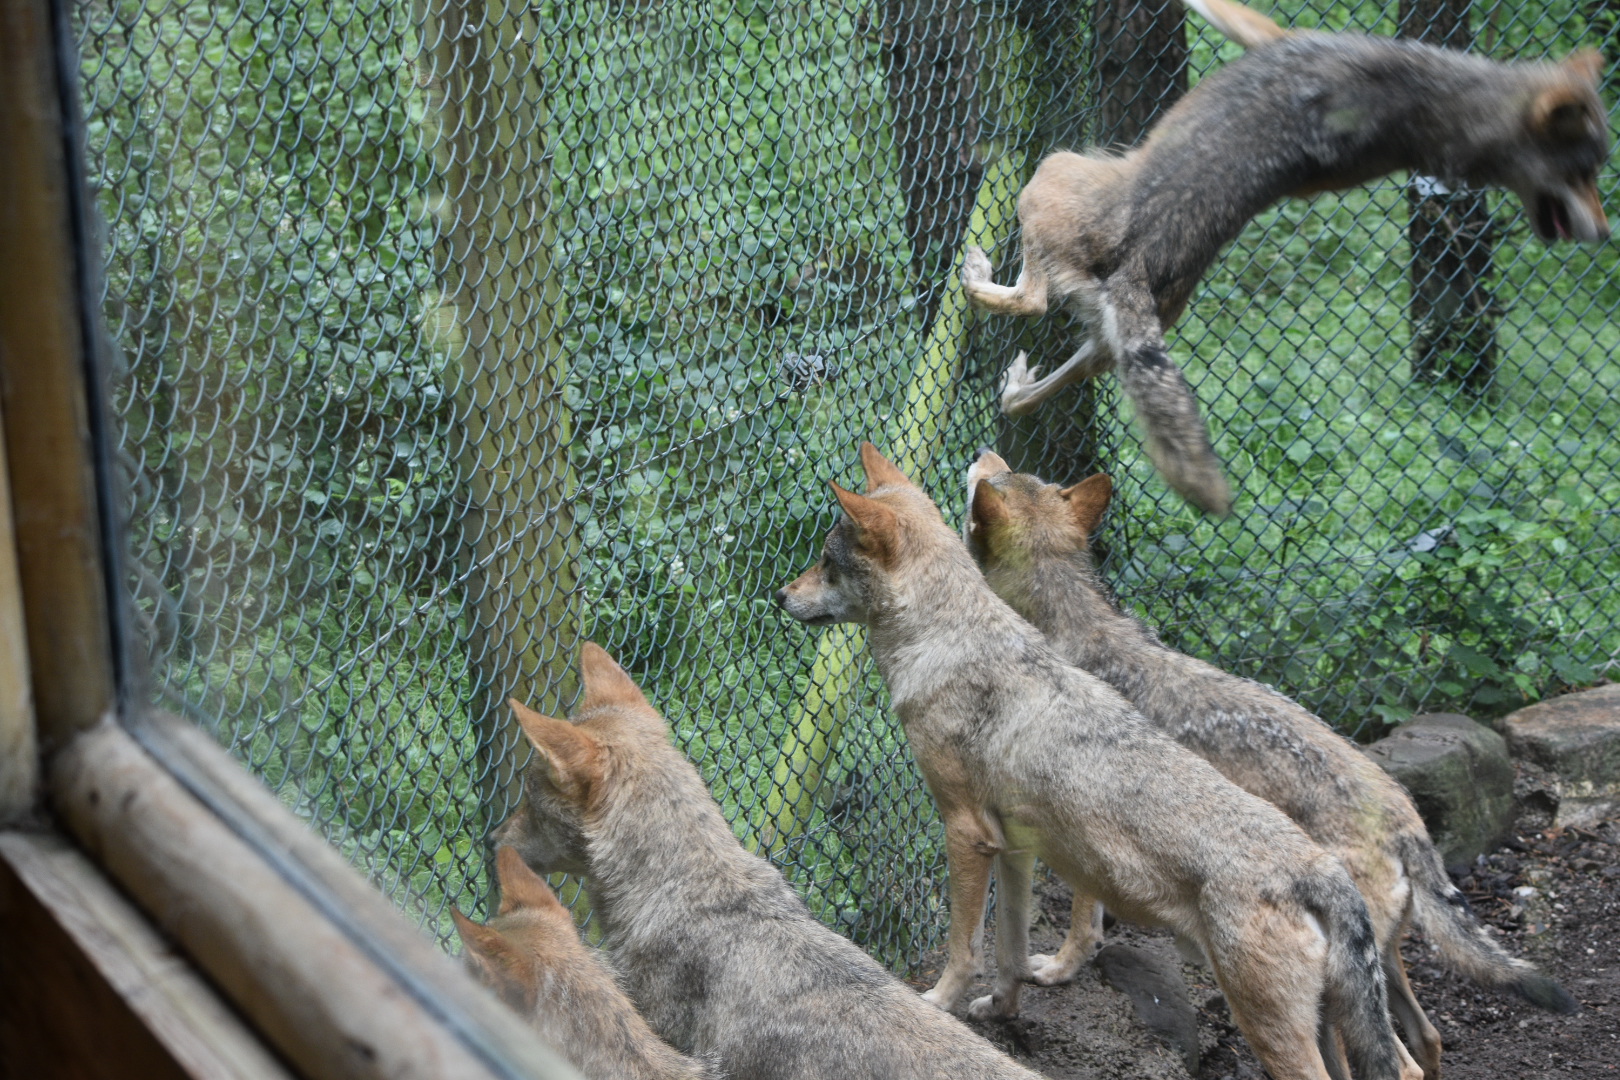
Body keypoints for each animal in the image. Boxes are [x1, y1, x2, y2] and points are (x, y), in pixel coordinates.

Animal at [777, 442, 1423, 1080]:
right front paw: (1003, 1008)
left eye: (826, 562)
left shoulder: (966, 834)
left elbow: (967, 949)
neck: (947, 641)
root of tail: (1323, 872)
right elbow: (1010, 951)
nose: (779, 595)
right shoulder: (1016, 848)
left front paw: (937, 1004)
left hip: (1275, 1032)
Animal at [961, 450, 1579, 1078]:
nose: (983, 455)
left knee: (1394, 1062)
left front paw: (1057, 970)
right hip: (1368, 979)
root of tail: (1407, 822)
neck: (1068, 625)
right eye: (1017, 473)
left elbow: (1082, 926)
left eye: (992, 479)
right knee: (1428, 1040)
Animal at [962, 0, 1609, 515]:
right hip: (1107, 345)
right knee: (1029, 394)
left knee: (1030, 299)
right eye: (1590, 172)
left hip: (1049, 174)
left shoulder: (1267, 31)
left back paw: (976, 275)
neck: (1440, 106)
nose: (1604, 232)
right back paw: (1015, 383)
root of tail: (1143, 269)